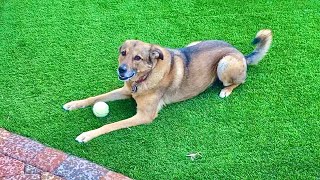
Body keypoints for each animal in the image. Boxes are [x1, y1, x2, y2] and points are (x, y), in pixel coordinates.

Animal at [63, 28, 272, 143]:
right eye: (123, 53)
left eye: (137, 58)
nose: (121, 70)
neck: (145, 78)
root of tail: (240, 53)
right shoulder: (125, 90)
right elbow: (96, 97)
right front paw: (74, 104)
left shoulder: (144, 116)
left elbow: (110, 124)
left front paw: (87, 135)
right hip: (194, 43)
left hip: (225, 63)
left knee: (239, 81)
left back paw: (225, 90)